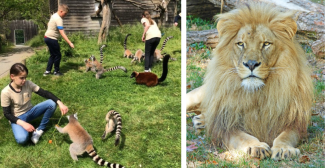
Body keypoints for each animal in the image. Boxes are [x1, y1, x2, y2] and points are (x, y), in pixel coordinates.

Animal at [186, 2, 312, 160]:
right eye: (241, 44)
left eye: (266, 44)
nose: (251, 64)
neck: (256, 94)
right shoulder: (226, 126)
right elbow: (241, 137)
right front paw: (256, 146)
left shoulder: (295, 122)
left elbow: (285, 136)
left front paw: (284, 149)